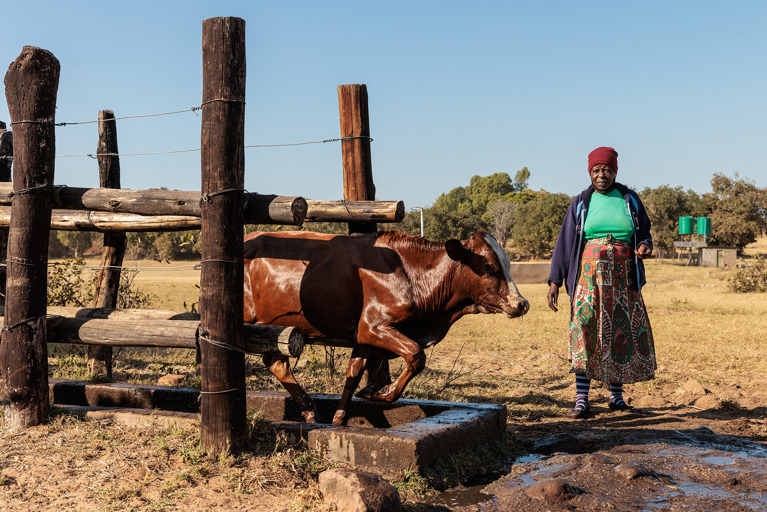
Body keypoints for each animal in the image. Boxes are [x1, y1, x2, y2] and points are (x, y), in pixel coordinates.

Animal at [243, 228, 532, 424]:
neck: (410, 273)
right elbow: (416, 355)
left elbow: (352, 376)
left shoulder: (362, 336)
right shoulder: (374, 327)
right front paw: (380, 393)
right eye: (489, 266)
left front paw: (339, 419)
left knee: (277, 364)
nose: (522, 303)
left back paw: (310, 411)